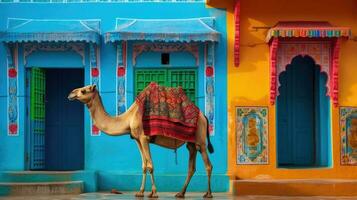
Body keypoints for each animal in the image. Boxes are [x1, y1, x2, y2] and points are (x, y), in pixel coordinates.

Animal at [67, 84, 213, 198]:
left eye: (84, 90)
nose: (71, 93)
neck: (128, 118)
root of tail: (203, 116)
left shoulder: (144, 138)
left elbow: (150, 165)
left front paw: (154, 193)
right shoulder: (137, 139)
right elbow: (144, 165)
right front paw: (141, 192)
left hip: (201, 141)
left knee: (208, 165)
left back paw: (208, 194)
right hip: (192, 143)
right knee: (191, 167)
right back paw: (180, 193)